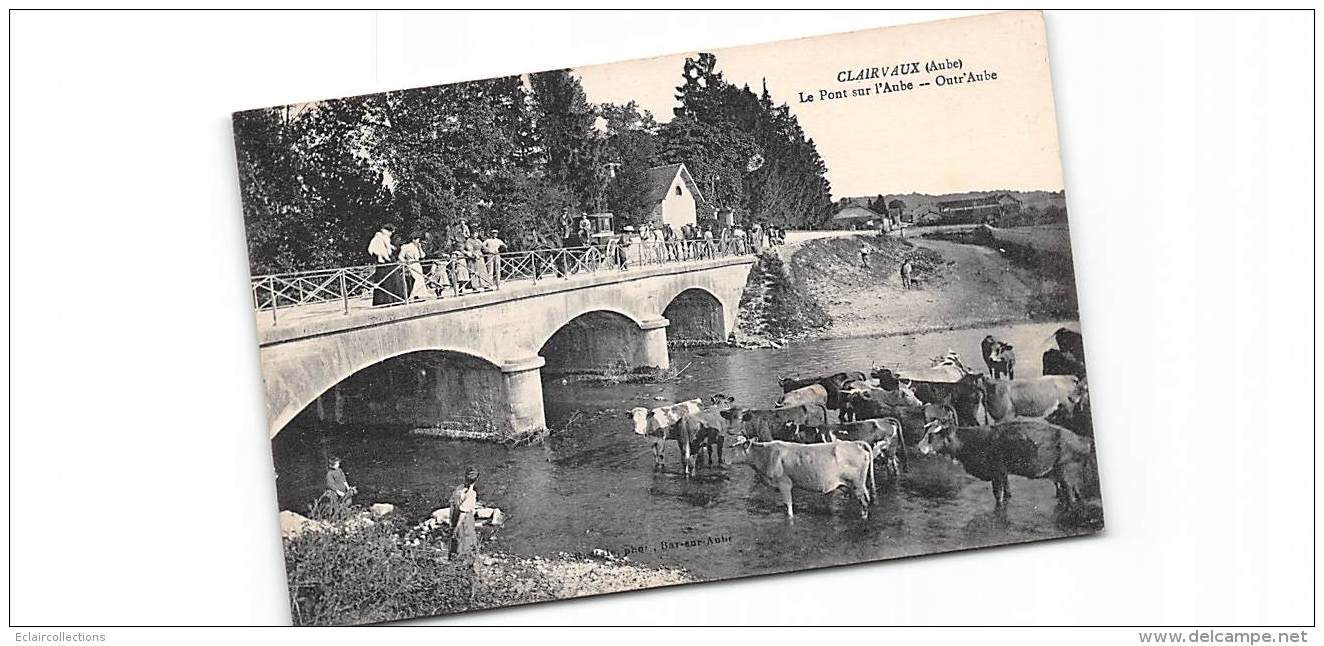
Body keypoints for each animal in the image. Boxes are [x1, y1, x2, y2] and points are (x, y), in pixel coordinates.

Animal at [725, 434, 879, 518]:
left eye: (733, 447)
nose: (724, 459)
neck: (765, 454)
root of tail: (855, 443)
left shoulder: (784, 484)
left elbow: (789, 507)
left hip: (857, 485)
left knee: (864, 504)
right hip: (857, 485)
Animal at [916, 413, 1090, 510]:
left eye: (932, 435)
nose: (919, 447)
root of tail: (1082, 440)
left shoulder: (997, 473)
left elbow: (998, 496)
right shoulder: (1004, 473)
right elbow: (1008, 493)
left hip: (1067, 475)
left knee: (1072, 498)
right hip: (1066, 477)